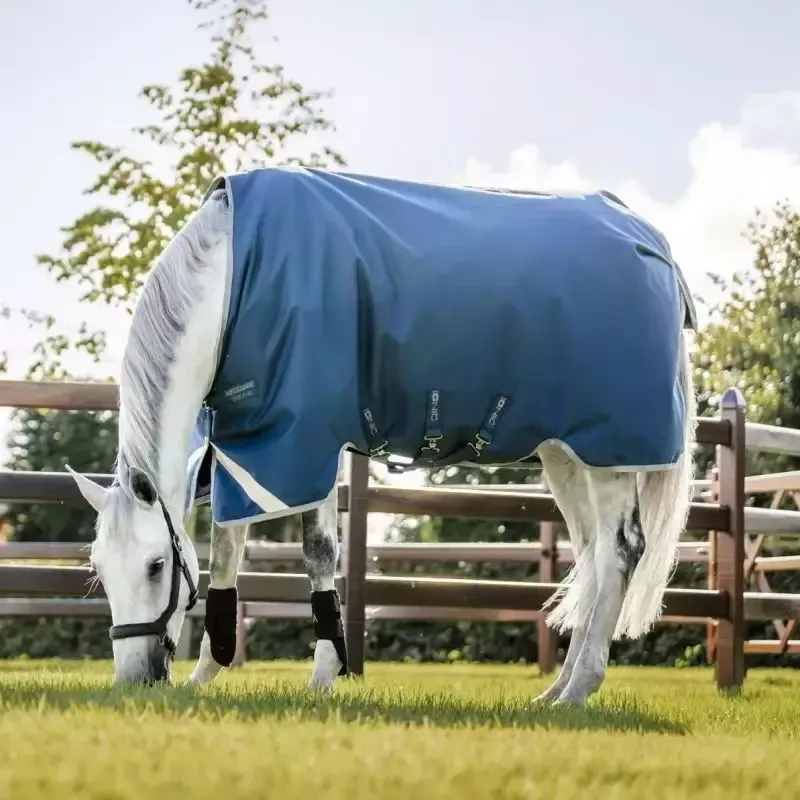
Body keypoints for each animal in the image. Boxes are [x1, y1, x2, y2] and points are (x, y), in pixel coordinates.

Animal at [67, 167, 697, 704]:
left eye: (155, 566)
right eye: (99, 566)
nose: (135, 678)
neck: (231, 287)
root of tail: (653, 244)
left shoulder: (304, 443)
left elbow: (319, 555)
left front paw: (323, 677)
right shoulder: (247, 450)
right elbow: (225, 552)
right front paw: (207, 674)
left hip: (610, 453)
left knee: (620, 550)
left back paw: (578, 690)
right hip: (566, 454)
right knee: (591, 554)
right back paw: (554, 691)